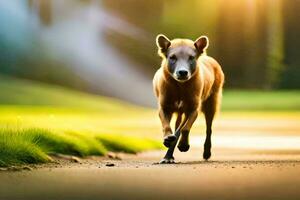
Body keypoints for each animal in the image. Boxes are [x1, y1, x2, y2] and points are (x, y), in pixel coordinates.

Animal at [154, 34, 224, 162]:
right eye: (172, 57)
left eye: (191, 58)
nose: (182, 72)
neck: (180, 87)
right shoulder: (164, 107)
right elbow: (166, 125)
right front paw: (167, 139)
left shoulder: (192, 109)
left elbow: (185, 128)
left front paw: (183, 145)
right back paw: (168, 156)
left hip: (211, 103)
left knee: (208, 128)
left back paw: (206, 153)